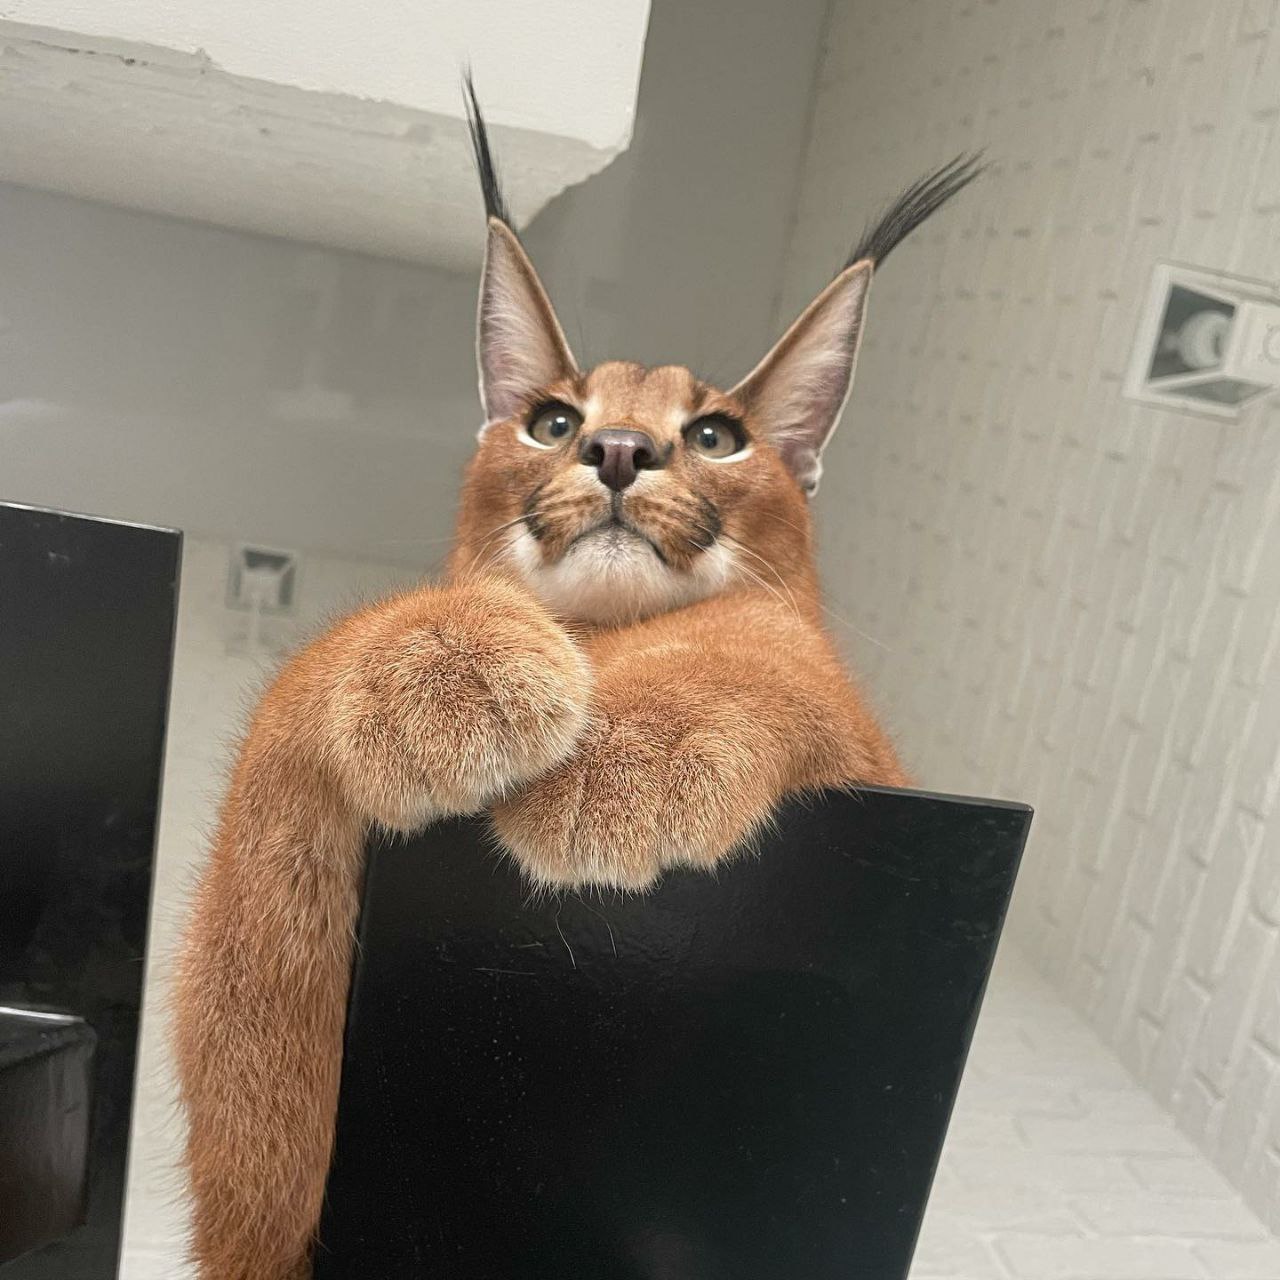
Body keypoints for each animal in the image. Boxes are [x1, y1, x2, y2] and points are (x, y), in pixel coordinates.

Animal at [173, 81, 983, 1280]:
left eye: (716, 435)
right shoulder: (268, 1214)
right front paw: (441, 664)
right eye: (552, 421)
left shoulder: (873, 754)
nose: (616, 449)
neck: (599, 635)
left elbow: (772, 639)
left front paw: (619, 757)